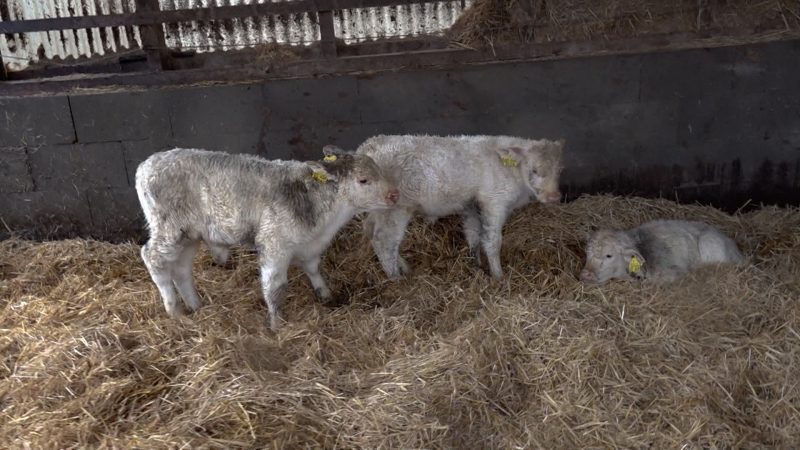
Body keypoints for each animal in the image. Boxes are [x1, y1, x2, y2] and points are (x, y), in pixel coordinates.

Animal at [138, 146, 404, 328]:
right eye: (363, 180)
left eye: (380, 171)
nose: (394, 194)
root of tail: (147, 164)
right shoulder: (274, 244)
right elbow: (275, 287)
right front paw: (277, 325)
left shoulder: (310, 245)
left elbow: (313, 268)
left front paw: (326, 294)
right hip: (169, 230)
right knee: (152, 257)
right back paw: (174, 310)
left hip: (190, 236)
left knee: (181, 269)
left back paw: (195, 305)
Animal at [356, 135, 564, 280]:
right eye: (534, 170)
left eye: (559, 171)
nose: (554, 196)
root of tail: (368, 147)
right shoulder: (495, 201)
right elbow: (492, 240)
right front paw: (498, 276)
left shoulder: (471, 204)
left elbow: (473, 234)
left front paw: (476, 265)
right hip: (395, 209)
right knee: (385, 241)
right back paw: (396, 278)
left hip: (379, 210)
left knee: (370, 230)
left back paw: (404, 268)